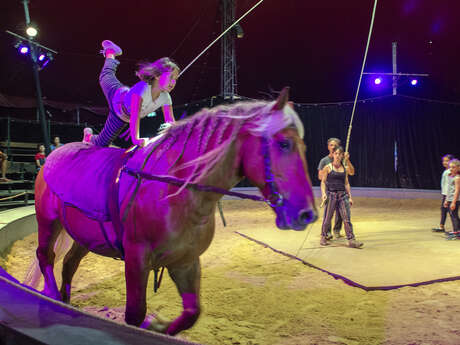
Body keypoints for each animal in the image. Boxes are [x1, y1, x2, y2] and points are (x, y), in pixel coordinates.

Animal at [35, 87, 316, 334]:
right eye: (284, 144)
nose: (307, 214)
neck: (176, 192)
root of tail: (53, 155)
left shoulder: (185, 261)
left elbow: (191, 313)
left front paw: (158, 326)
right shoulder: (137, 259)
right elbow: (135, 314)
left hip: (84, 236)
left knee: (69, 263)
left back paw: (65, 301)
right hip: (48, 221)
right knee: (45, 255)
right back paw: (52, 295)